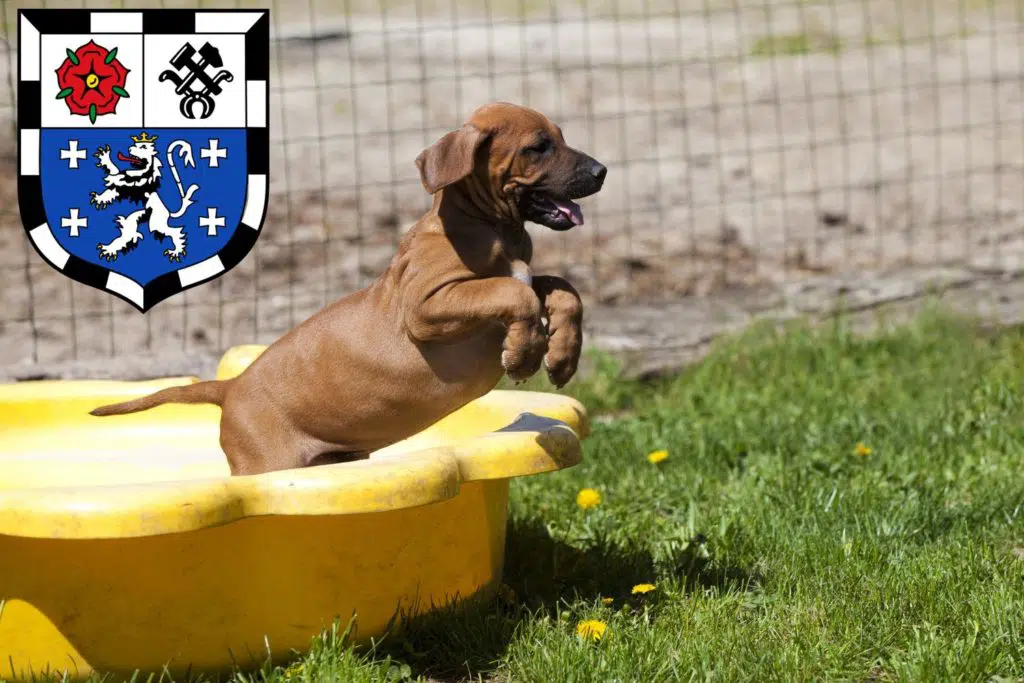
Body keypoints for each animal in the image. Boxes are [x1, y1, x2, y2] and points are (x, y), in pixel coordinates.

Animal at [90, 102, 606, 475]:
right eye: (539, 147)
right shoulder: (425, 307)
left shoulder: (511, 281)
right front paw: (524, 353)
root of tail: (232, 387)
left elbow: (560, 288)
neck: (488, 226)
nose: (601, 171)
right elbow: (513, 292)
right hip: (268, 464)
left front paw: (562, 354)